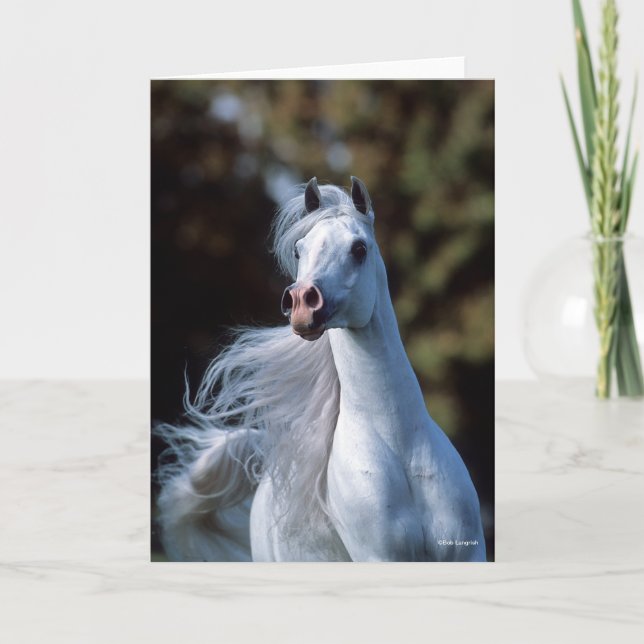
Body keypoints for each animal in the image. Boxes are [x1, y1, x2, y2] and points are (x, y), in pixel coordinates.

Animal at [154, 176, 486, 562]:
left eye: (359, 248)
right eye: (299, 250)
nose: (301, 303)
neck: (401, 450)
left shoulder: (469, 552)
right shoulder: (380, 557)